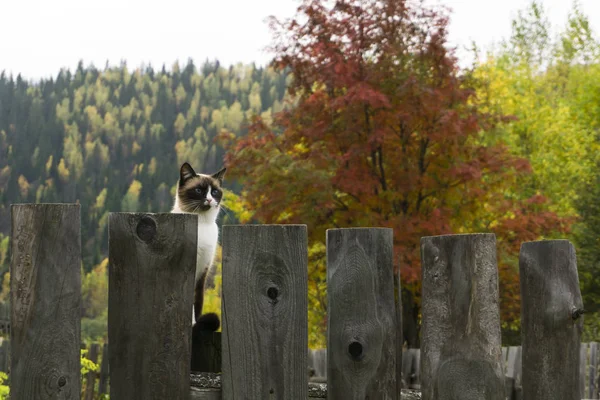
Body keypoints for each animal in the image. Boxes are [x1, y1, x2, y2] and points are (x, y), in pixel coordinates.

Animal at [172, 161, 226, 332]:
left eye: (214, 192)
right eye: (198, 191)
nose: (209, 199)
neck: (202, 222)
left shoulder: (203, 270)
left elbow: (198, 302)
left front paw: (196, 323)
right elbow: (190, 306)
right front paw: (193, 325)